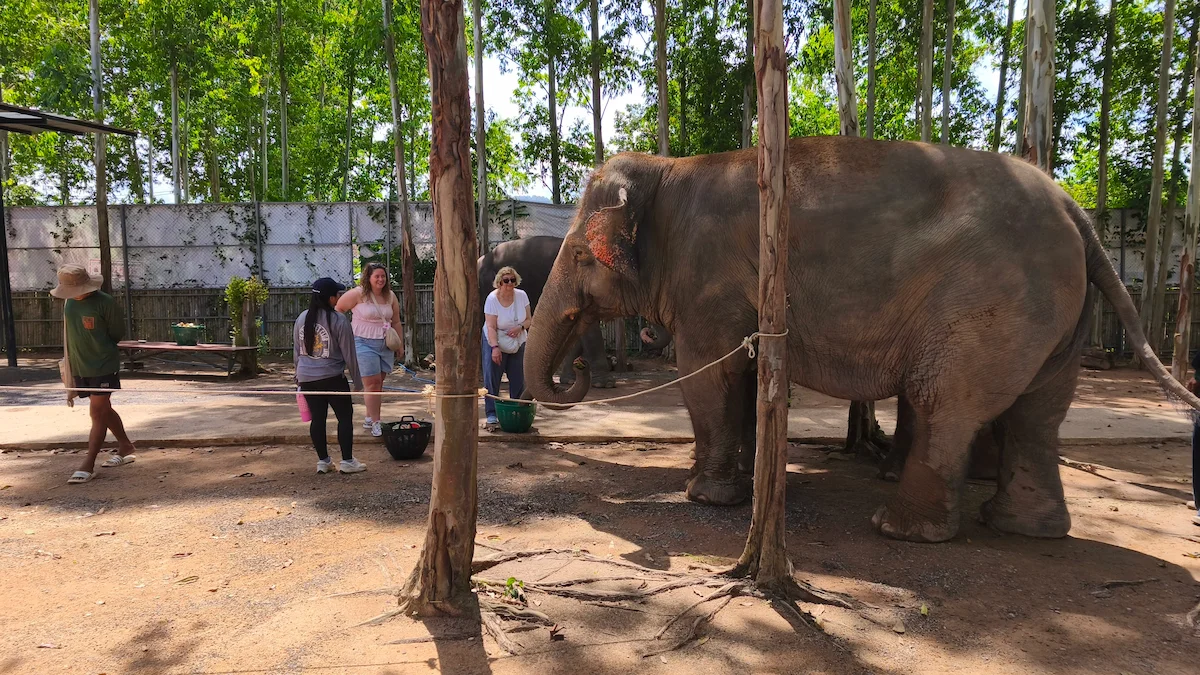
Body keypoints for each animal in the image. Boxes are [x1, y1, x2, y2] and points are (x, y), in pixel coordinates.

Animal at [523, 135, 1200, 543]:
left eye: (579, 254)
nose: (575, 375)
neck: (669, 170)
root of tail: (1075, 208)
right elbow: (742, 375)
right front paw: (735, 486)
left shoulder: (709, 277)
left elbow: (710, 373)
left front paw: (704, 498)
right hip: (1058, 313)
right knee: (1039, 412)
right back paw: (1021, 528)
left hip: (991, 304)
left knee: (945, 400)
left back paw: (900, 528)